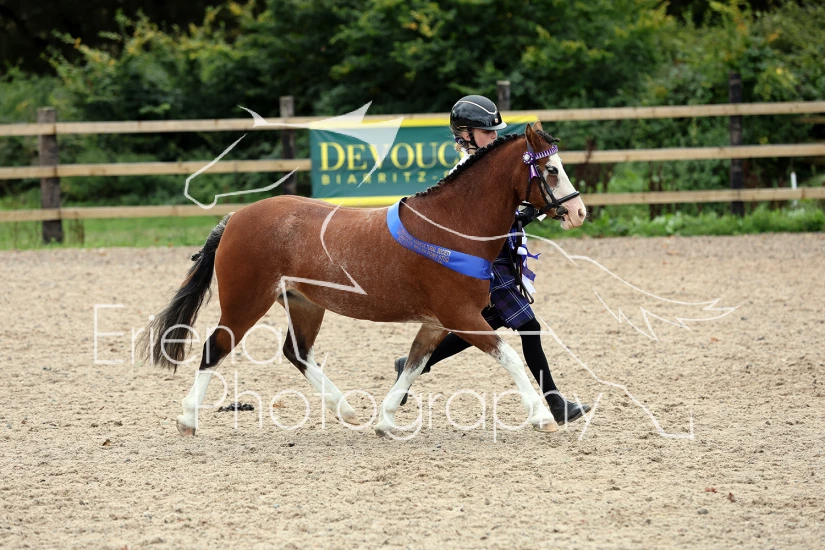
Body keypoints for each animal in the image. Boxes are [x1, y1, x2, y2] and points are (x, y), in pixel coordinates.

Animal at [140, 121, 587, 437]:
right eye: (550, 169)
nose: (578, 212)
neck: (453, 225)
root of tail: (235, 218)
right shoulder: (460, 315)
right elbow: (509, 356)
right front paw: (543, 416)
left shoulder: (437, 322)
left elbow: (414, 362)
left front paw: (385, 421)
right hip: (245, 302)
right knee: (214, 347)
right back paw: (188, 420)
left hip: (304, 304)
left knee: (296, 352)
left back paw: (348, 410)